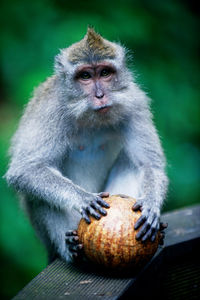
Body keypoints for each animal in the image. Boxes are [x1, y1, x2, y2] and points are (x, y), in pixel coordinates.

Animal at [4, 27, 168, 262]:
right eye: (85, 76)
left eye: (105, 73)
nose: (100, 95)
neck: (90, 116)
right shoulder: (51, 110)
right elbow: (25, 170)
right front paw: (84, 198)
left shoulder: (135, 102)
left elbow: (148, 164)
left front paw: (151, 206)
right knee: (37, 194)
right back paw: (70, 249)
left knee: (133, 162)